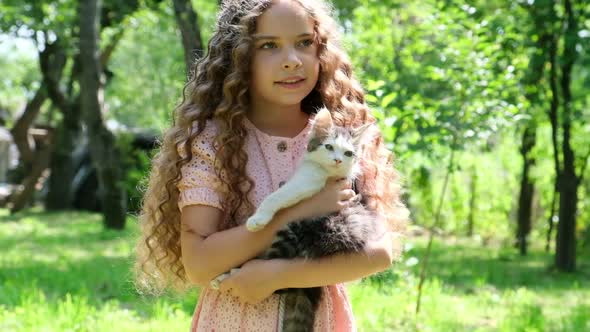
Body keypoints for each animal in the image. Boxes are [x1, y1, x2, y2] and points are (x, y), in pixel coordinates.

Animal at [213, 107, 384, 330]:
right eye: (329, 147)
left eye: (348, 153)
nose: (338, 160)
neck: (324, 171)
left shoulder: (307, 184)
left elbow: (276, 196)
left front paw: (258, 219)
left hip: (292, 232)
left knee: (273, 276)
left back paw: (228, 276)